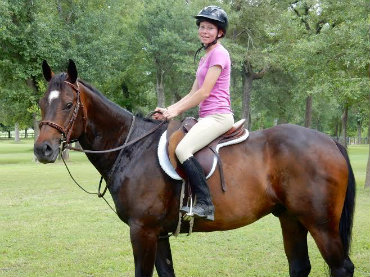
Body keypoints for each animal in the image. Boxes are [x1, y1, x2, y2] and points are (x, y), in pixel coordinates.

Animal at [34, 59, 356, 276]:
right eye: (40, 103)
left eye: (68, 104)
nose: (42, 149)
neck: (131, 148)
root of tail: (330, 140)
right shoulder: (157, 233)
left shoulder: (142, 230)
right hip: (290, 218)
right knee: (300, 266)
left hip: (320, 224)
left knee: (342, 267)